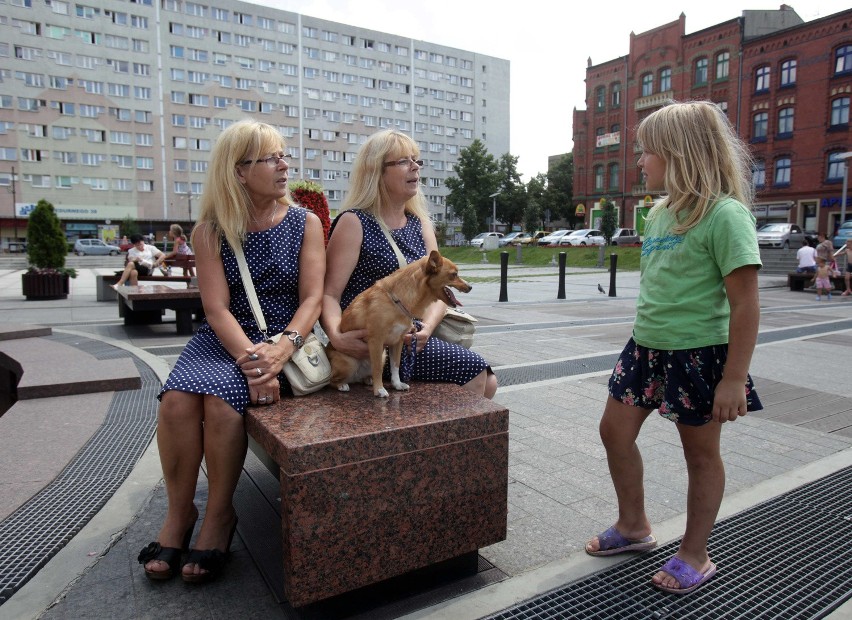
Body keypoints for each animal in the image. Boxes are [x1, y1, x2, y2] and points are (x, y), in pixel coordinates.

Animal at [326, 251, 472, 398]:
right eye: (454, 274)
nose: (470, 287)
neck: (396, 302)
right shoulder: (376, 341)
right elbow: (377, 369)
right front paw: (379, 390)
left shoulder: (397, 342)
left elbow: (395, 366)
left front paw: (397, 384)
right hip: (350, 363)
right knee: (332, 380)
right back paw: (342, 385)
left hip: (383, 355)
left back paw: (368, 380)